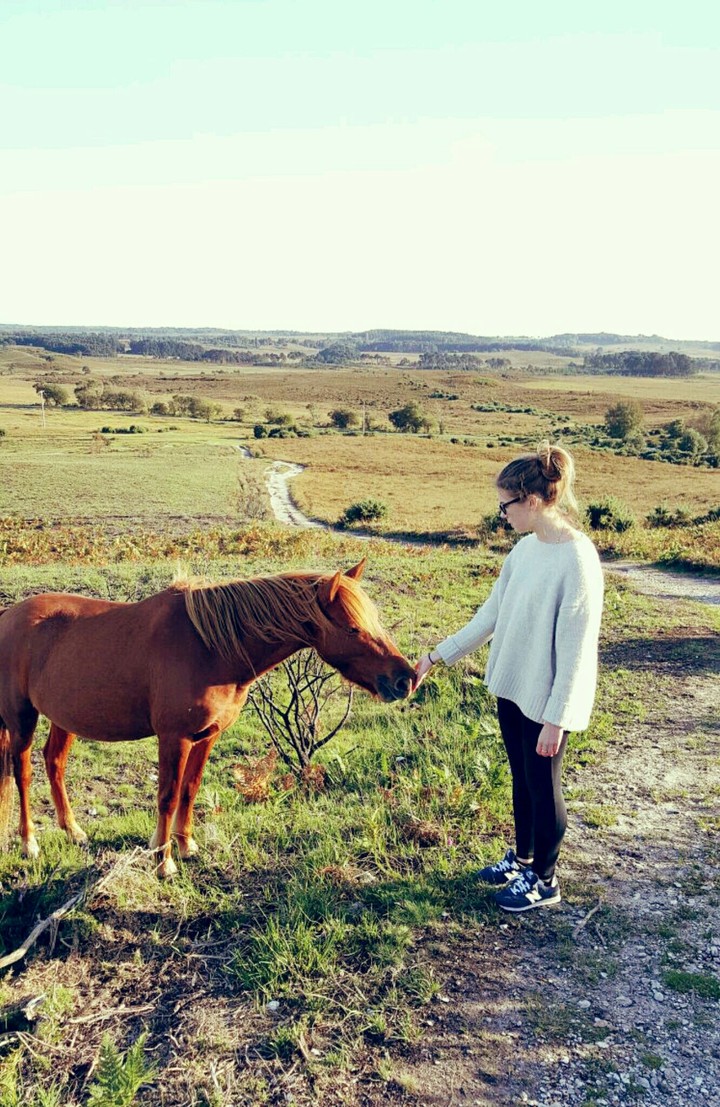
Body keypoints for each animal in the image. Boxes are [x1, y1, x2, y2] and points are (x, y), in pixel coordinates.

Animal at [0, 559, 415, 877]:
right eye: (353, 628)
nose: (405, 679)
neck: (210, 647)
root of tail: (9, 616)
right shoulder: (175, 738)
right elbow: (167, 796)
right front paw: (163, 861)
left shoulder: (207, 735)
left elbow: (190, 788)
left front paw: (186, 846)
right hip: (21, 719)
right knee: (22, 772)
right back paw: (29, 843)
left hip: (63, 717)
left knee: (54, 763)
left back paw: (73, 832)